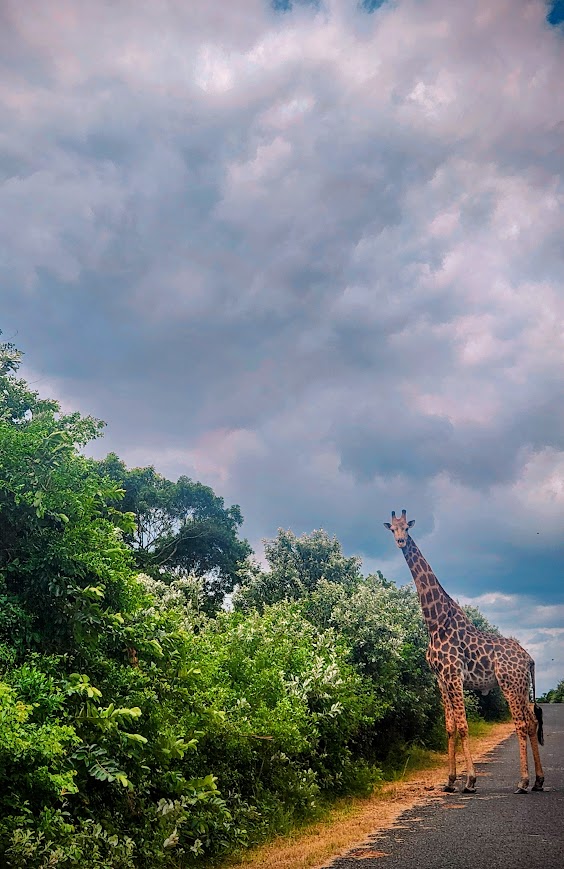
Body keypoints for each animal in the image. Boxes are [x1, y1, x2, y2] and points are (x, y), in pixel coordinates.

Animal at [384, 510, 545, 795]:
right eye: (392, 529)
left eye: (407, 528)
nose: (401, 541)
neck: (436, 622)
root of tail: (529, 659)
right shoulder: (441, 679)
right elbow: (449, 728)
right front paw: (449, 781)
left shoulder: (454, 675)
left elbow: (463, 726)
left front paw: (470, 781)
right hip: (522, 686)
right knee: (532, 722)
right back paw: (538, 780)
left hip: (509, 683)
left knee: (521, 724)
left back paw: (523, 782)